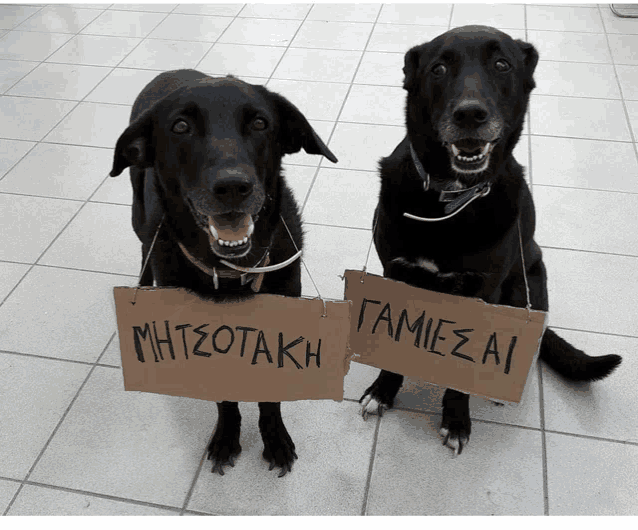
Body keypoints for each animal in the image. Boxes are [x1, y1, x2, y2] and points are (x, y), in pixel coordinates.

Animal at [111, 67, 340, 474]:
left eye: (261, 123)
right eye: (181, 126)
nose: (233, 186)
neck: (232, 272)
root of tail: (170, 71)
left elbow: (270, 395)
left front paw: (274, 437)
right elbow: (224, 399)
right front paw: (227, 436)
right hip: (139, 214)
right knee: (144, 249)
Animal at [362, 26, 624, 452]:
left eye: (502, 64)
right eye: (438, 68)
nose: (470, 114)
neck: (449, 200)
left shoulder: (482, 291)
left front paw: (456, 418)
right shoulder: (395, 275)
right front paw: (383, 390)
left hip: (523, 289)